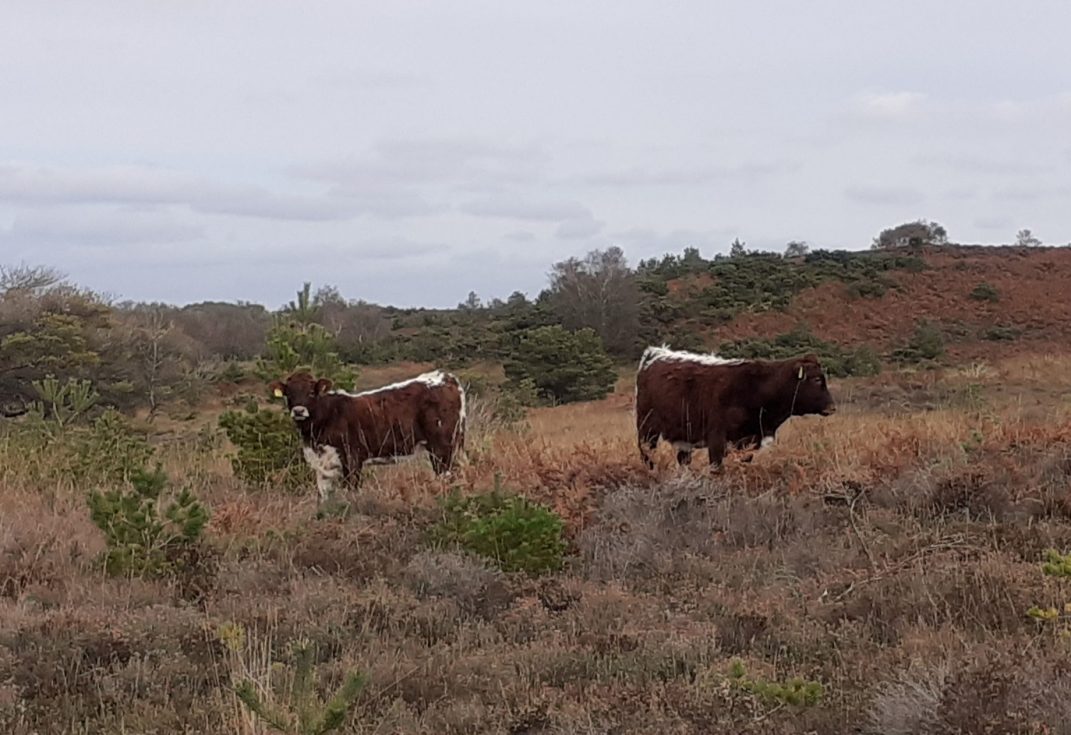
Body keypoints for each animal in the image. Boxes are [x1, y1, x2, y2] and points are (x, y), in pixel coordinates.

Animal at [269, 369, 466, 504]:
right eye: (288, 395)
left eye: (311, 392)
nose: (298, 411)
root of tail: (446, 377)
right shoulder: (323, 466)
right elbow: (324, 497)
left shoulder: (352, 459)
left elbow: (352, 491)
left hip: (442, 446)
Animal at [635, 345, 835, 469]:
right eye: (817, 379)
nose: (831, 407)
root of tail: (655, 353)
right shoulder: (717, 440)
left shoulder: (749, 441)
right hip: (647, 429)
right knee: (647, 455)